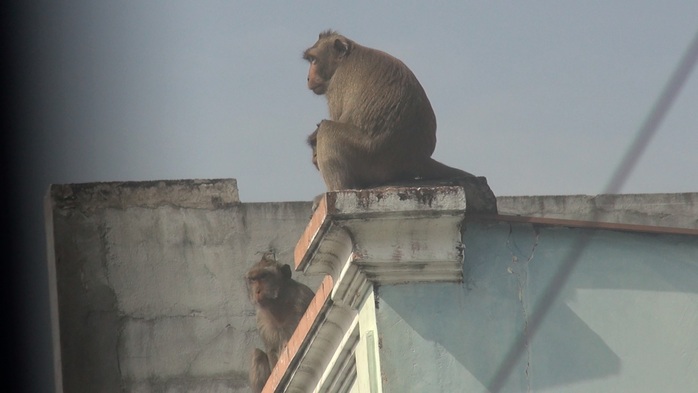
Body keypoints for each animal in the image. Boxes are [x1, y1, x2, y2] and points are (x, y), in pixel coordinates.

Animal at [243, 253, 312, 390]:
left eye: (264, 276)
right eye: (253, 279)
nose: (257, 291)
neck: (278, 305)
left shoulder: (303, 299)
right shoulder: (260, 319)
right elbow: (271, 350)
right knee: (257, 354)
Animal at [300, 29, 474, 191]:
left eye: (314, 60)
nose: (308, 78)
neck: (346, 58)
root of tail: (419, 159)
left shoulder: (337, 83)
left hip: (371, 156)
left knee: (328, 130)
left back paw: (342, 188)